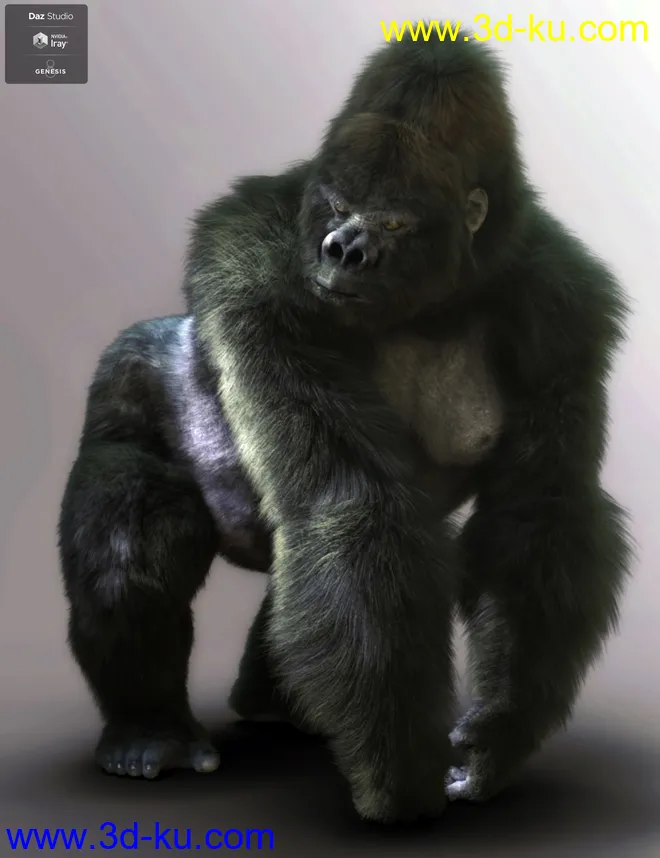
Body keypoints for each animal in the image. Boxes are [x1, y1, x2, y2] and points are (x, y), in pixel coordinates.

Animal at [58, 25, 633, 824]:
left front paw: (498, 733)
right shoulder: (258, 268)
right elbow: (352, 501)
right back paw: (148, 731)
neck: (440, 294)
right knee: (135, 521)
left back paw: (273, 703)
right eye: (335, 207)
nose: (343, 250)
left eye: (392, 219)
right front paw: (401, 774)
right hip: (120, 382)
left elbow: (540, 506)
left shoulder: (563, 302)